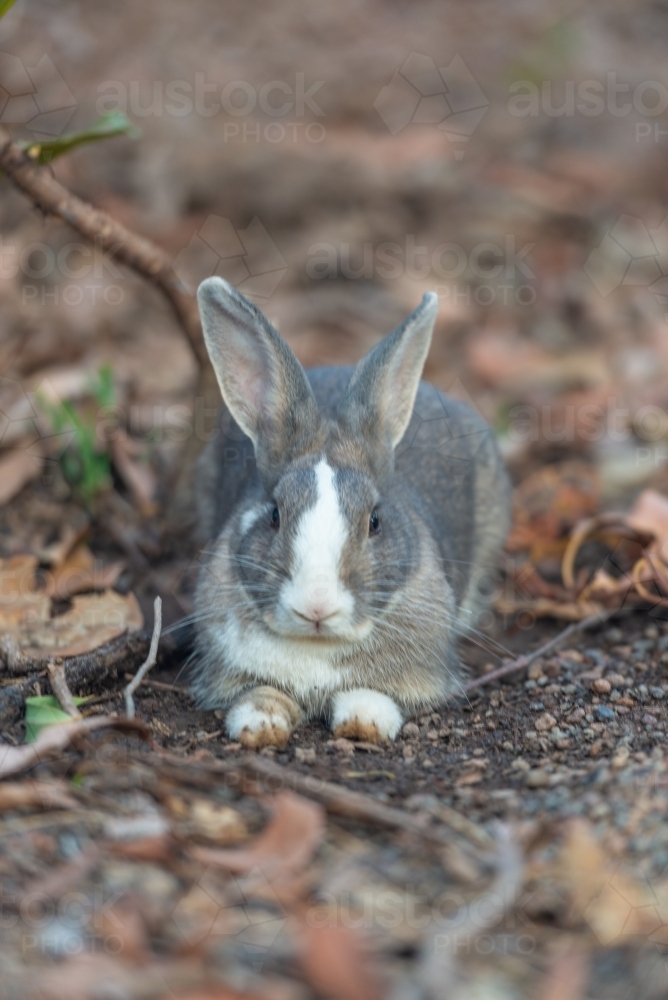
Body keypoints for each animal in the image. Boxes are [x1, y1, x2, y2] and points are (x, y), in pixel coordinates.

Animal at [191, 276, 510, 749]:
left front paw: (364, 722)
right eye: (274, 515)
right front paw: (260, 724)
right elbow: (260, 693)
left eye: (374, 521)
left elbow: (372, 694)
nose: (317, 606)